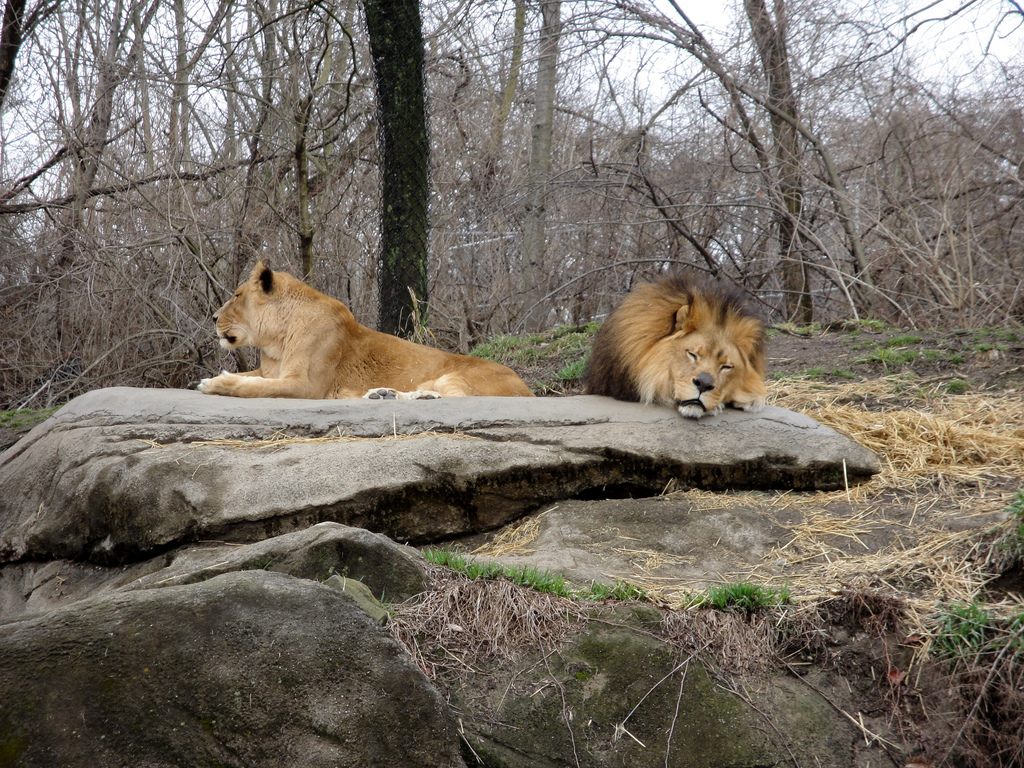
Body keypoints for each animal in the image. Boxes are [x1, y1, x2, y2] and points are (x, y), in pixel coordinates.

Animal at [198, 262, 534, 400]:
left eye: (236, 296)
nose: (213, 317)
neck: (276, 342)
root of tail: (527, 388)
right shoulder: (270, 372)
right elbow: (250, 378)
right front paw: (219, 378)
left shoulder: (306, 386)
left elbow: (253, 387)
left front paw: (216, 384)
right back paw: (383, 395)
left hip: (458, 374)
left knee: (459, 399)